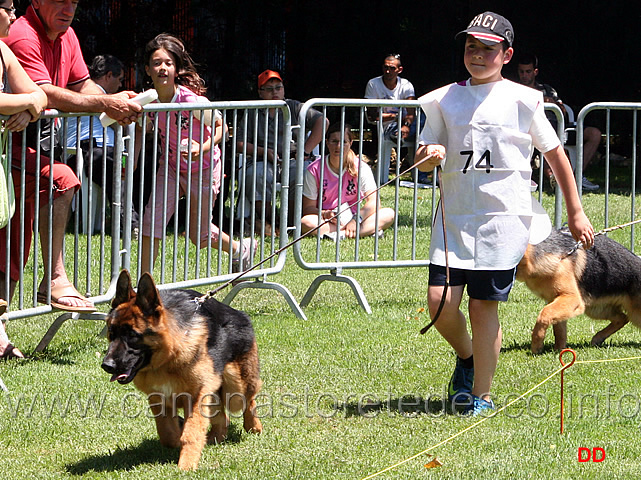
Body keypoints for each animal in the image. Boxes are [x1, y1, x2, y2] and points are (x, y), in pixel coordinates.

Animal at [101, 272, 262, 470]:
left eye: (132, 335)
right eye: (111, 332)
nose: (107, 365)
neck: (167, 359)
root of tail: (239, 314)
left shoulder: (196, 395)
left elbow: (191, 432)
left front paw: (186, 466)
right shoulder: (159, 398)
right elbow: (167, 434)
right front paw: (177, 436)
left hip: (235, 387)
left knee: (248, 400)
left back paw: (253, 426)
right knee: (222, 417)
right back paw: (215, 437)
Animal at [512, 227, 640, 354]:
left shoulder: (571, 298)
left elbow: (544, 314)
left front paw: (536, 345)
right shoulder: (558, 300)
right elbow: (559, 329)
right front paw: (559, 350)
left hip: (633, 314)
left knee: (625, 318)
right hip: (595, 310)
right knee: (622, 318)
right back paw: (598, 338)